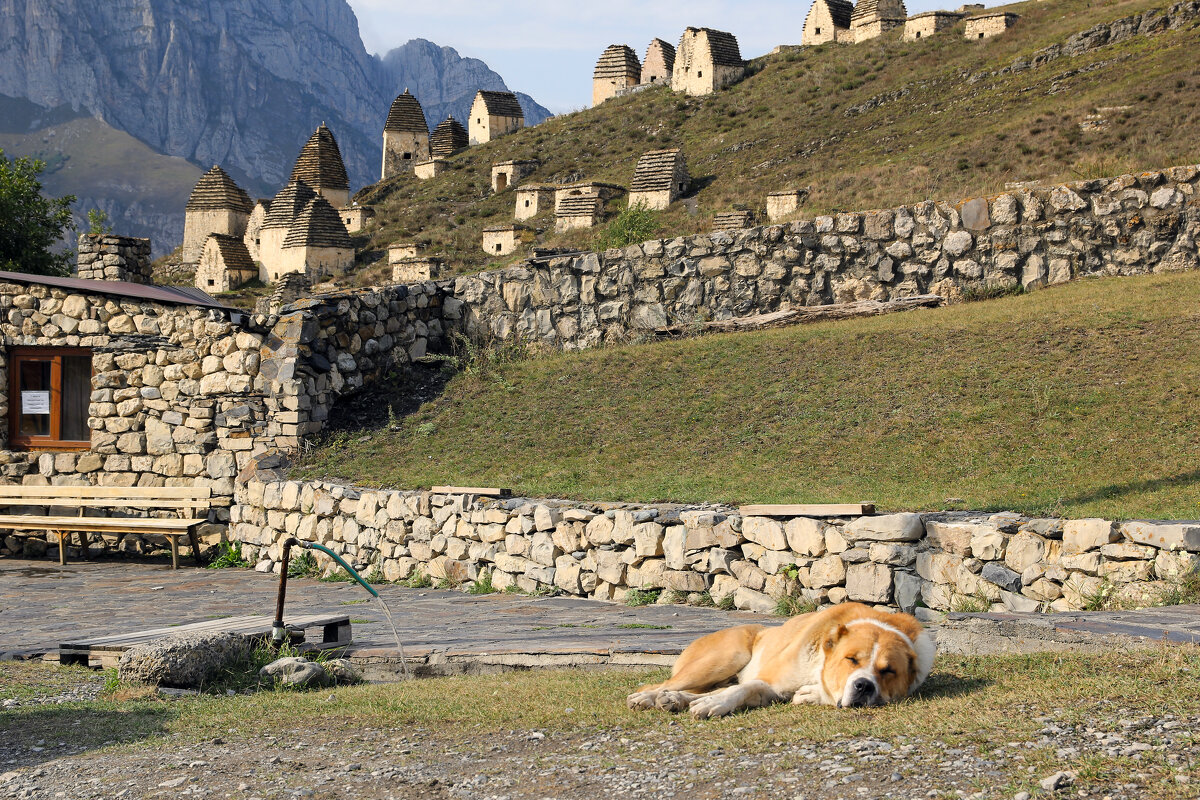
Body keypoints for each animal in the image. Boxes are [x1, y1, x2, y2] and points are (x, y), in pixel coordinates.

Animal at [628, 599, 936, 719]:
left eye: (888, 671)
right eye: (851, 659)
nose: (863, 686)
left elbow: (743, 690)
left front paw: (810, 695)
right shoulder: (771, 680)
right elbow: (743, 688)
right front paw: (714, 705)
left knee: (703, 690)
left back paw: (673, 700)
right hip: (728, 655)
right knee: (659, 685)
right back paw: (648, 697)